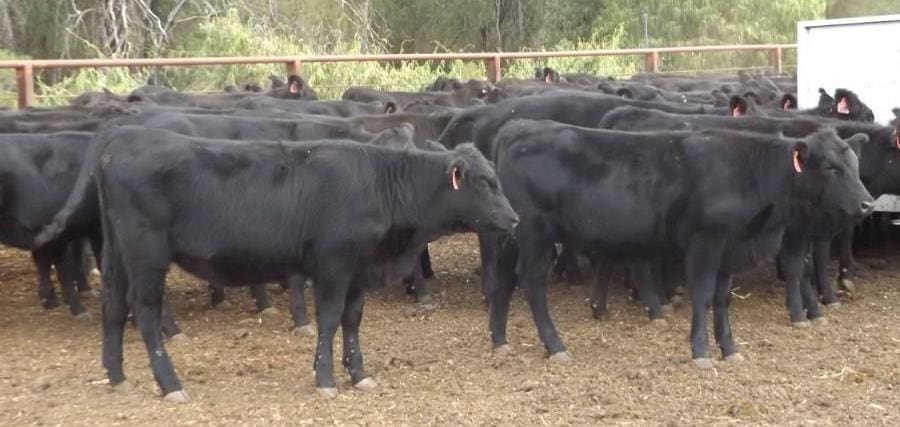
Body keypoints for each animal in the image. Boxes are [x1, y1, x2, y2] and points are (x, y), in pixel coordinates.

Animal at [37, 125, 512, 402]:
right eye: (485, 181)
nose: (514, 218)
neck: (379, 183)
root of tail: (123, 136)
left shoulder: (359, 271)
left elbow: (352, 321)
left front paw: (358, 372)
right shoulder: (333, 267)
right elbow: (329, 321)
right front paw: (326, 379)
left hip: (116, 253)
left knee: (113, 308)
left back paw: (117, 374)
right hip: (147, 257)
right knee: (147, 315)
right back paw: (170, 384)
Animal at [488, 121, 876, 372]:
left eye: (855, 164)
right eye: (830, 167)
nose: (868, 204)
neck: (747, 173)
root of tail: (516, 130)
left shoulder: (729, 250)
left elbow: (721, 298)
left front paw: (729, 348)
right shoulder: (706, 241)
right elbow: (702, 294)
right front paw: (701, 352)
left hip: (512, 233)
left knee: (505, 280)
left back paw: (499, 341)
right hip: (536, 234)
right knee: (532, 283)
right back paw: (555, 346)